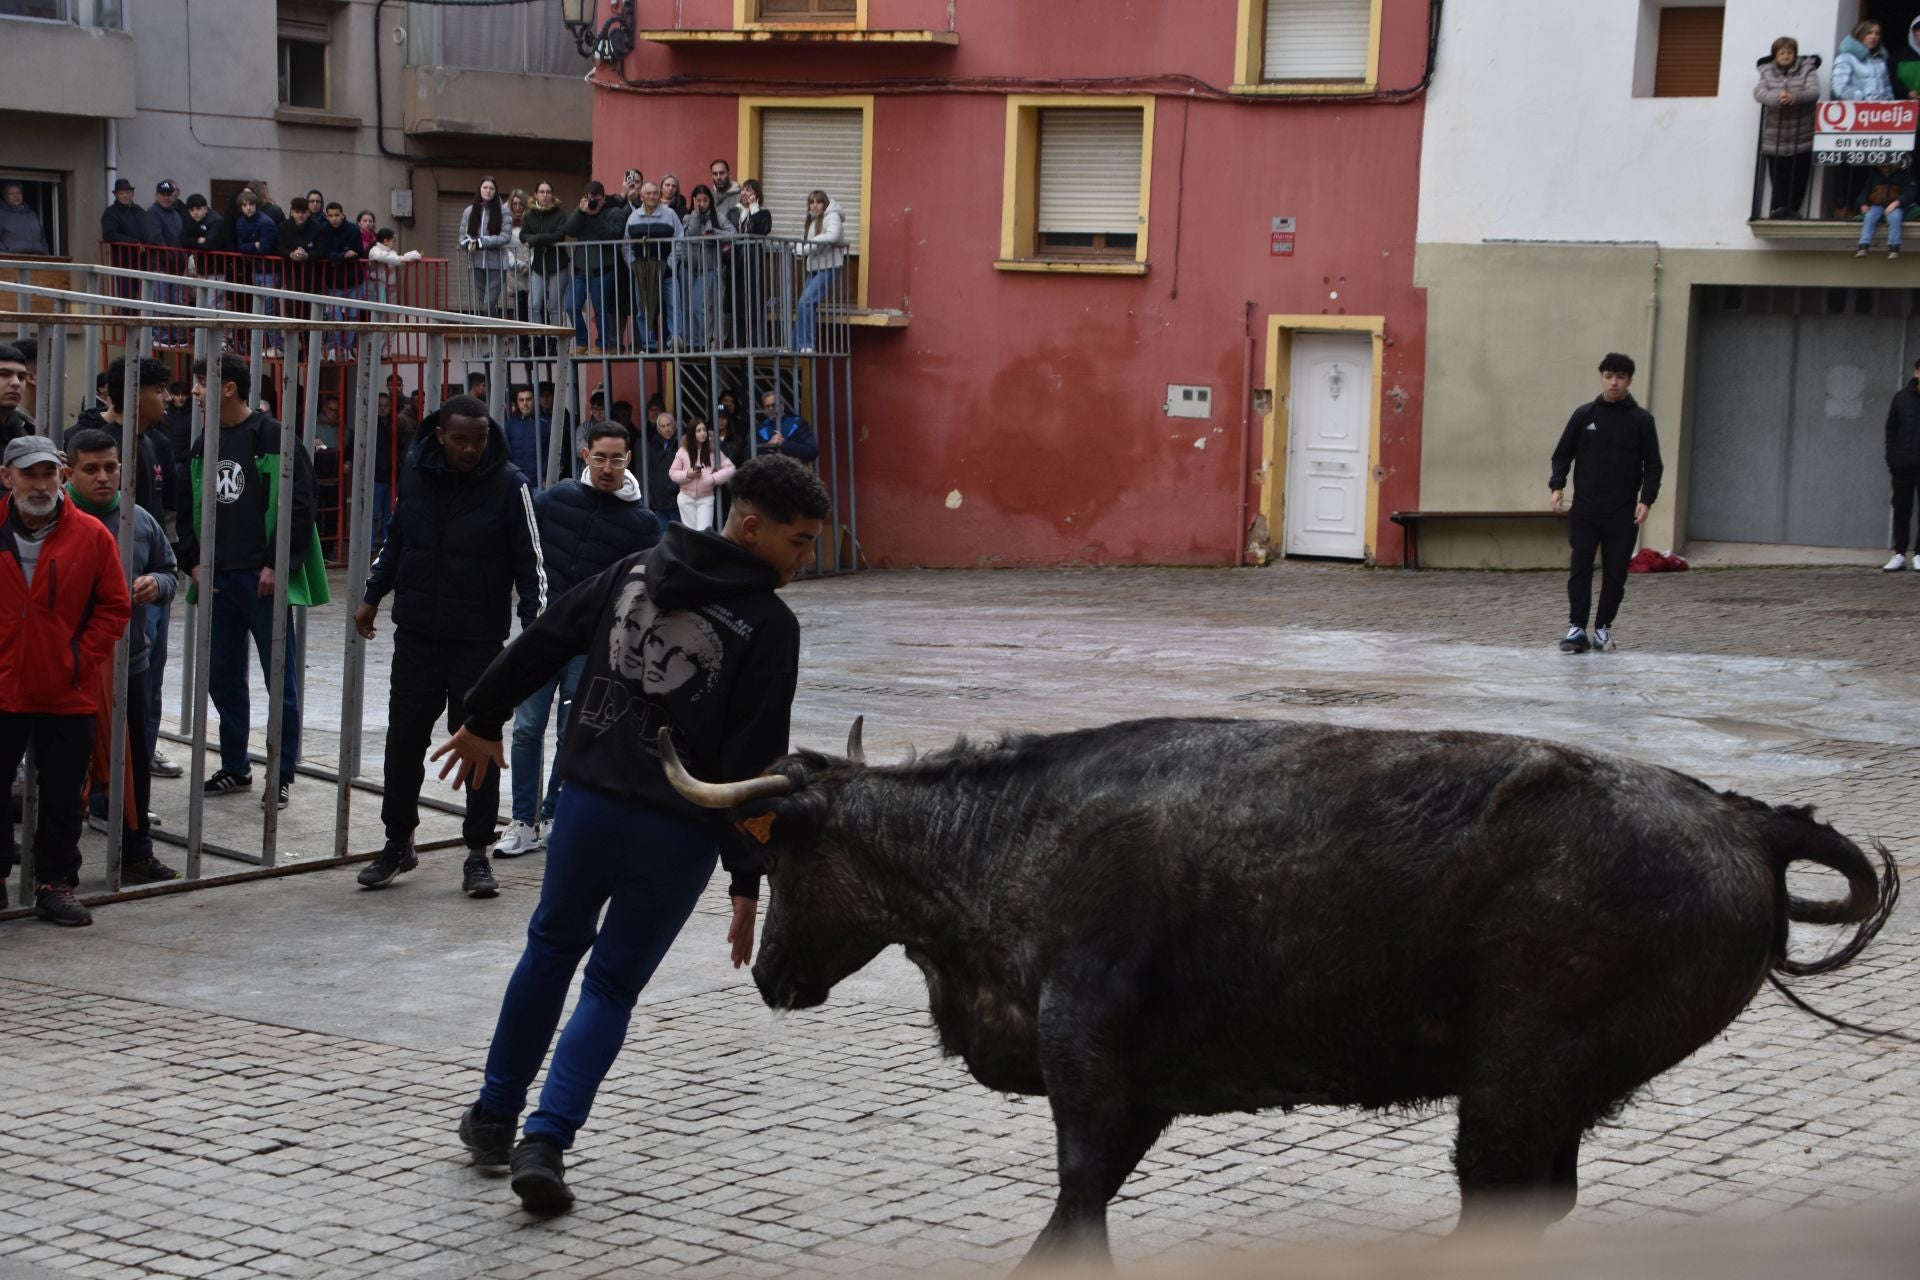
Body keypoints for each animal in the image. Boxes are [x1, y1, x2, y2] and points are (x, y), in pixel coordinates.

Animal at [660, 717, 1889, 1266]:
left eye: (782, 859)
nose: (768, 974)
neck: (1011, 836)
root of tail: (1739, 819)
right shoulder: (1138, 1086)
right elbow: (1082, 1200)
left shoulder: (1083, 1046)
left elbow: (1076, 1195)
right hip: (1545, 1094)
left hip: (1514, 1081)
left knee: (1498, 1205)